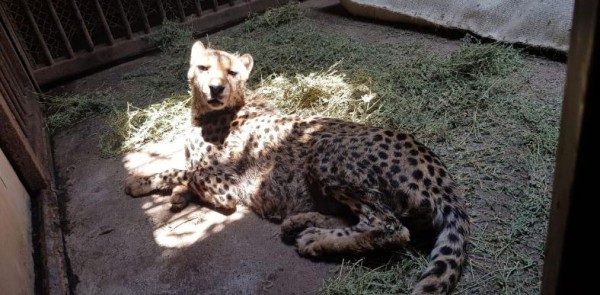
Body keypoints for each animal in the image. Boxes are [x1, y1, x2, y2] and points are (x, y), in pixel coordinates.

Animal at [125, 41, 468, 295]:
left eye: (232, 72)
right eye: (204, 68)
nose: (216, 88)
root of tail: (439, 173)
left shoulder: (226, 188)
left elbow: (182, 171)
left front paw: (141, 183)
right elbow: (185, 170)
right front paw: (177, 196)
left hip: (324, 150)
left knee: (389, 226)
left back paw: (316, 240)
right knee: (363, 219)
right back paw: (300, 222)